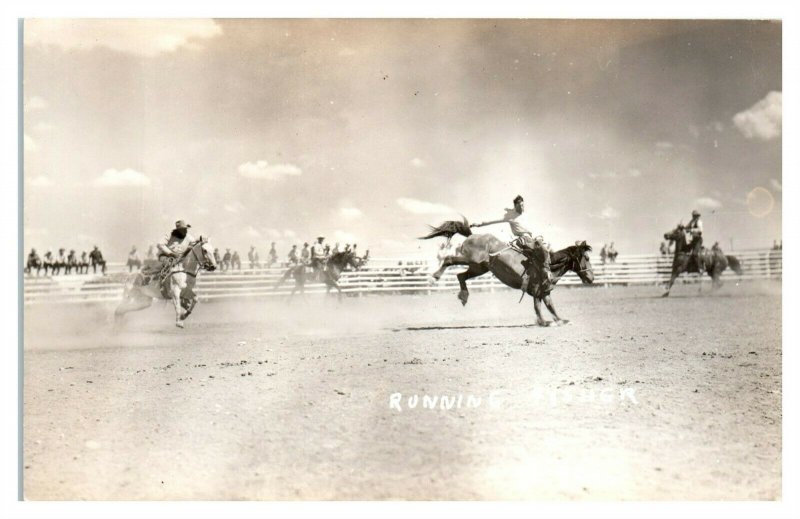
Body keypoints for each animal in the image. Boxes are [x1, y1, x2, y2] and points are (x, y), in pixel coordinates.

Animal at [422, 218, 592, 324]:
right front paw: (544, 322)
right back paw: (434, 277)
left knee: (460, 276)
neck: (549, 265)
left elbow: (551, 307)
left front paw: (561, 320)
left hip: (479, 267)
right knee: (449, 260)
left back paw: (464, 296)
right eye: (587, 258)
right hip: (471, 260)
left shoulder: (544, 293)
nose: (591, 278)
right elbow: (538, 308)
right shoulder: (537, 292)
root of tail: (473, 235)